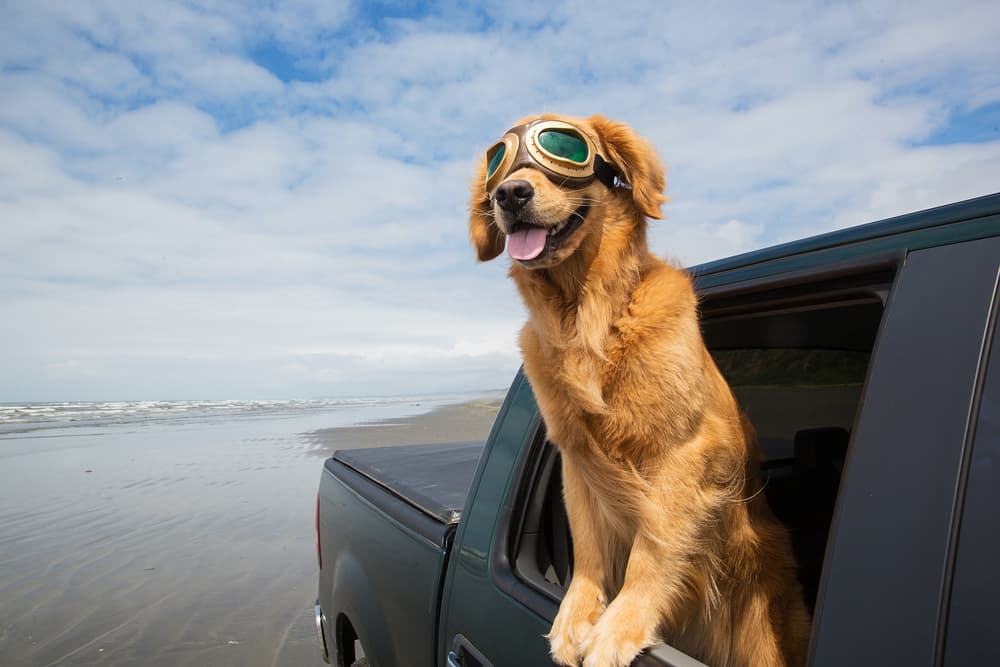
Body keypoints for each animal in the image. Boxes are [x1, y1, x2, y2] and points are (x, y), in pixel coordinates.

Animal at [470, 116, 812, 667]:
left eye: (564, 145)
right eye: (497, 162)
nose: (510, 193)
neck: (587, 317)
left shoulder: (683, 452)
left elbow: (654, 545)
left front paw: (620, 625)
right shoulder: (576, 458)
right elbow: (588, 544)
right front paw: (576, 614)